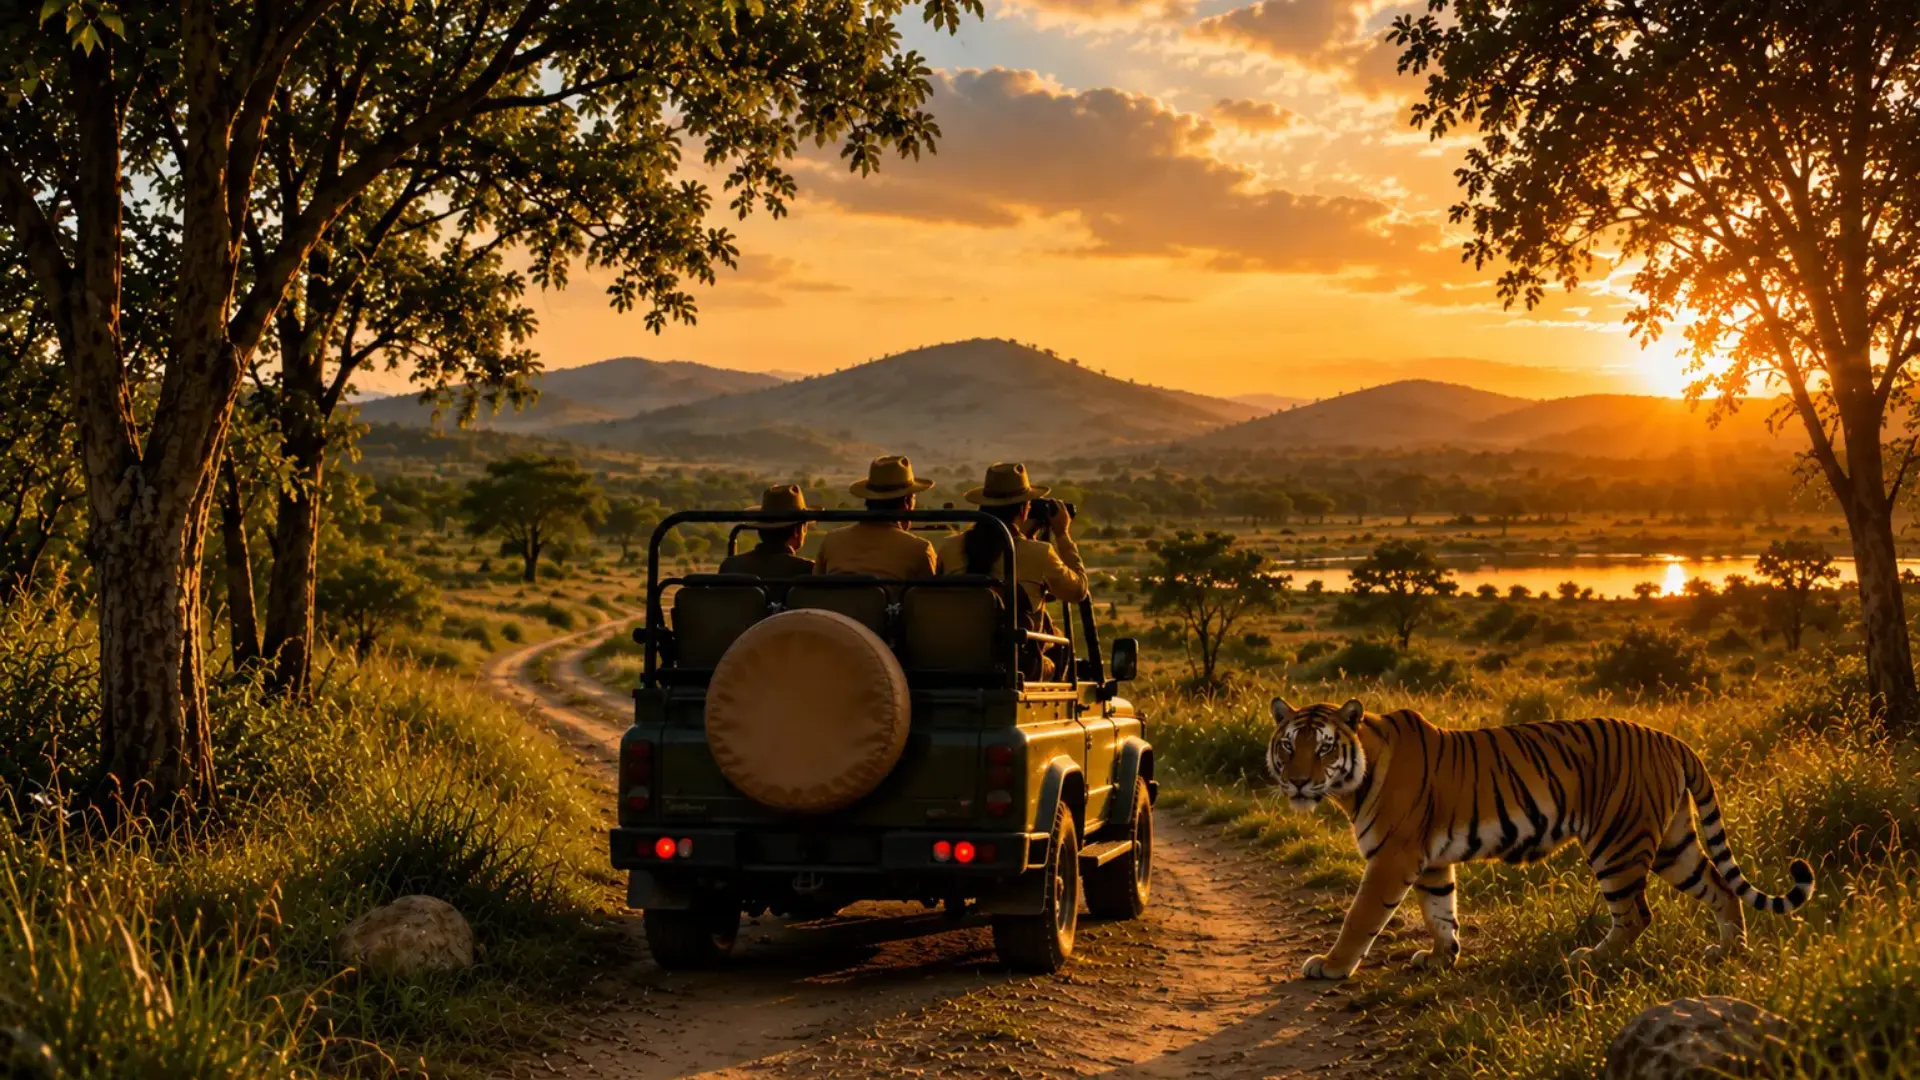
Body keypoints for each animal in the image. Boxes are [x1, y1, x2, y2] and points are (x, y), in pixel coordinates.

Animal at [1268, 697, 1815, 981]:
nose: (1297, 782)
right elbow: (1440, 911)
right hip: (1672, 845)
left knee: (1636, 913)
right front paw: (1443, 957)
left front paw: (1331, 966)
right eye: (1288, 746)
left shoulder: (1392, 858)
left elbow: (1361, 917)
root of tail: (1674, 739)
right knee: (1721, 888)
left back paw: (1591, 959)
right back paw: (1729, 951)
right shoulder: (1429, 861)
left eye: (1323, 749)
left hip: (1616, 842)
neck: (1351, 784)